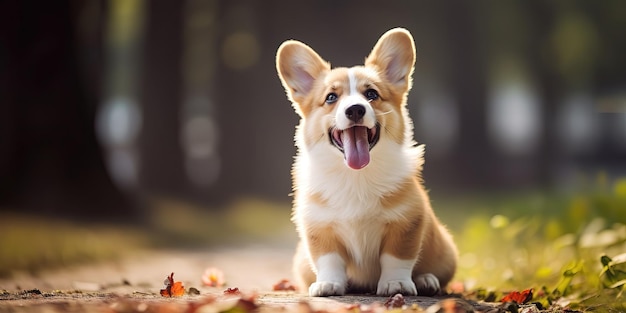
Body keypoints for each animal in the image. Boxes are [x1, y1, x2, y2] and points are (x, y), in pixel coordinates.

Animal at [276, 28, 456, 296]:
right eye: (331, 97)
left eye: (371, 94)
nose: (355, 110)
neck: (356, 175)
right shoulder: (319, 228)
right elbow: (328, 259)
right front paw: (329, 284)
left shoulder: (406, 223)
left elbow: (396, 258)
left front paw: (396, 284)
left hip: (445, 253)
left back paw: (426, 280)